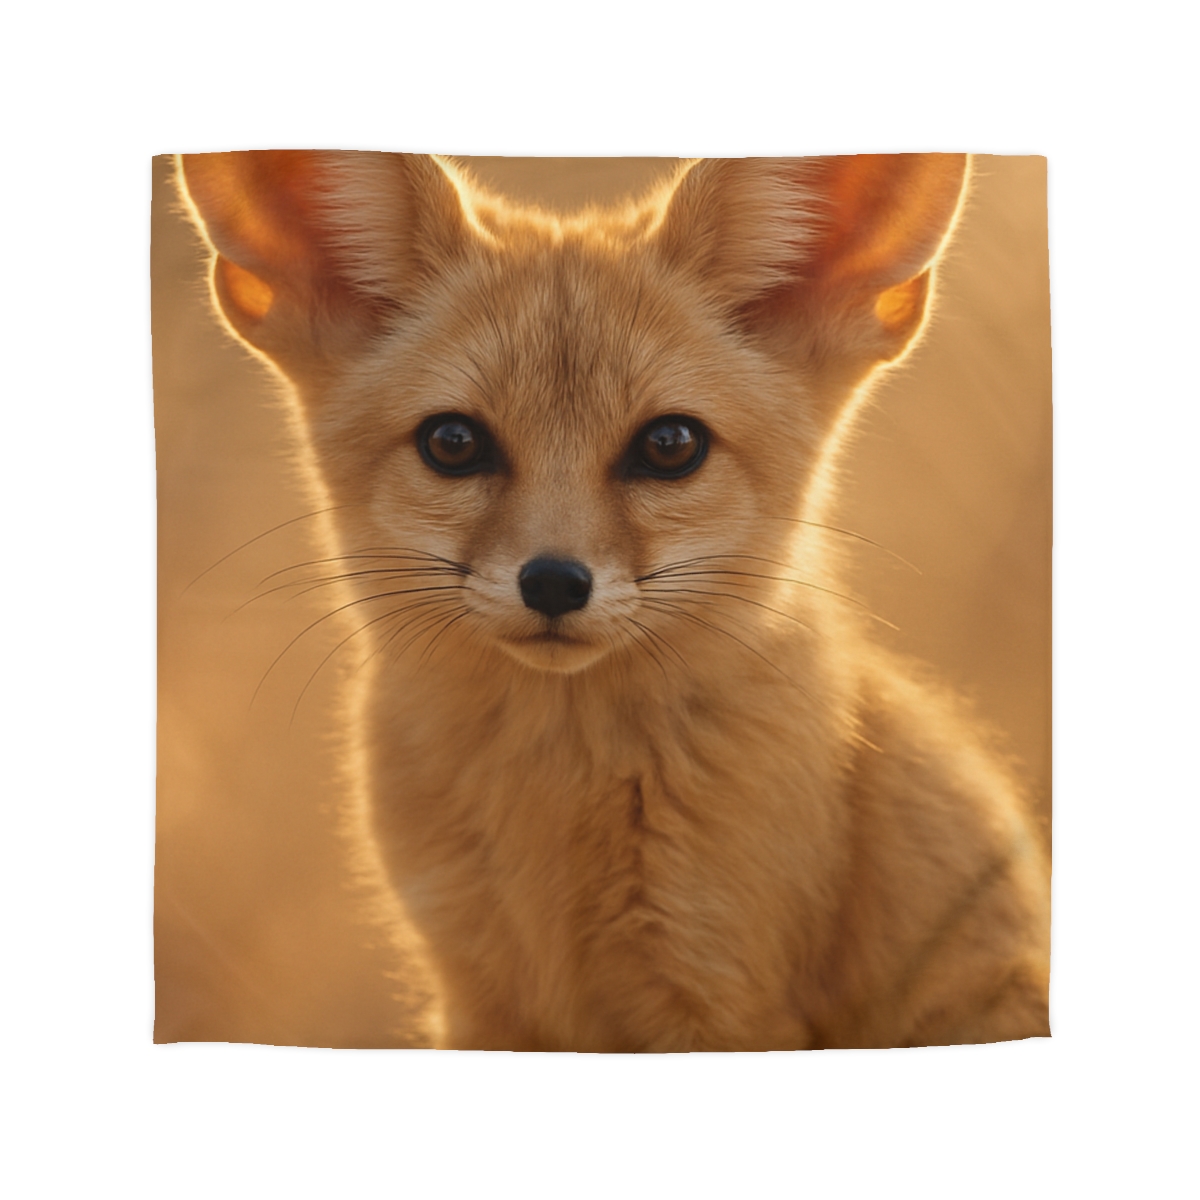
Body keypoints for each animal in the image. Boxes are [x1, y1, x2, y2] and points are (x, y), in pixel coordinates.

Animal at [176, 151, 1050, 1052]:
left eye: (670, 445)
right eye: (453, 443)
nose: (554, 582)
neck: (557, 808)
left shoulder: (720, 990)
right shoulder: (475, 991)